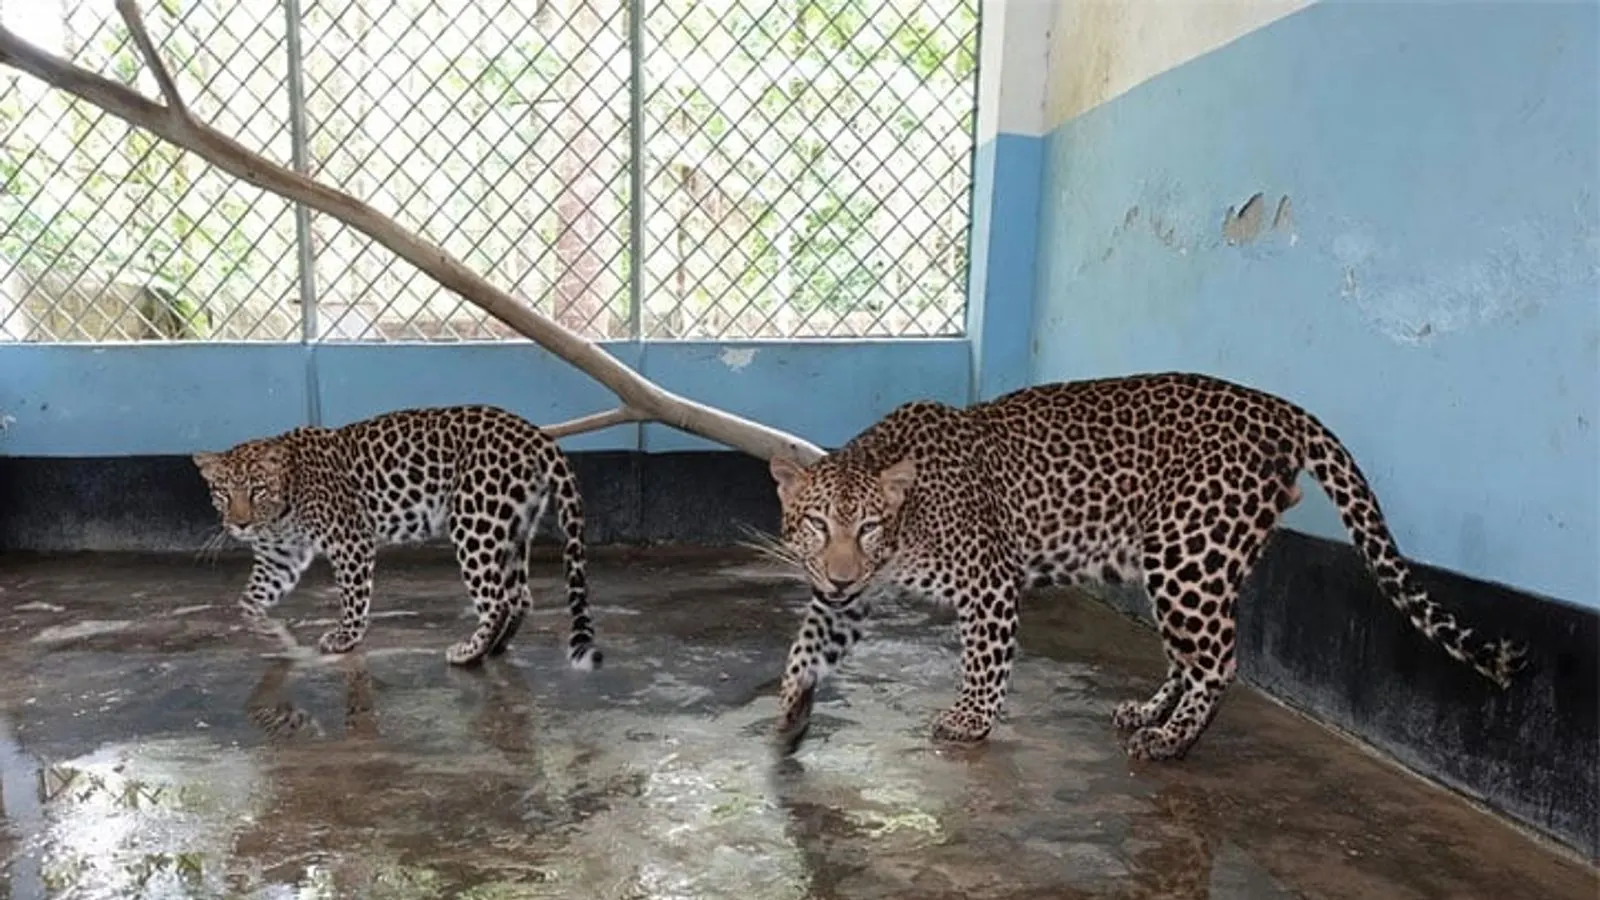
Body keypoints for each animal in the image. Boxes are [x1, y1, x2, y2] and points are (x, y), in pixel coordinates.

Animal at [193, 404, 601, 671]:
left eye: (257, 490)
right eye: (224, 493)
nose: (240, 525)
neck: (282, 505)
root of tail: (534, 433)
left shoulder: (350, 539)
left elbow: (353, 595)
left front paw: (345, 638)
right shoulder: (280, 557)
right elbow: (251, 597)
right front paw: (261, 627)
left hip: (474, 522)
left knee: (497, 600)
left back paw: (469, 653)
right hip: (513, 528)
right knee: (521, 597)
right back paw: (495, 648)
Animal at [765, 371, 1526, 761]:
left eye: (869, 528)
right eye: (817, 525)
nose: (841, 572)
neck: (908, 521)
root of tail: (1280, 409)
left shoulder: (989, 583)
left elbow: (983, 661)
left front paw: (970, 721)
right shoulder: (846, 598)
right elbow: (809, 641)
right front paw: (793, 705)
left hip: (1188, 553)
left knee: (1219, 661)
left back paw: (1172, 739)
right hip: (1180, 563)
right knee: (1192, 655)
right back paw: (1148, 712)